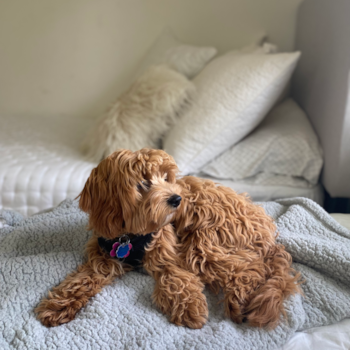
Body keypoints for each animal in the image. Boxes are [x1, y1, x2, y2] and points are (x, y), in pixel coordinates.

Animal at [35, 148, 300, 328]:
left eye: (165, 177)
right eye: (143, 182)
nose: (177, 199)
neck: (130, 235)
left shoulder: (169, 255)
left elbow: (177, 279)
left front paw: (190, 308)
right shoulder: (102, 256)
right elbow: (81, 279)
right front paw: (58, 304)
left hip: (204, 243)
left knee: (251, 269)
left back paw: (239, 299)